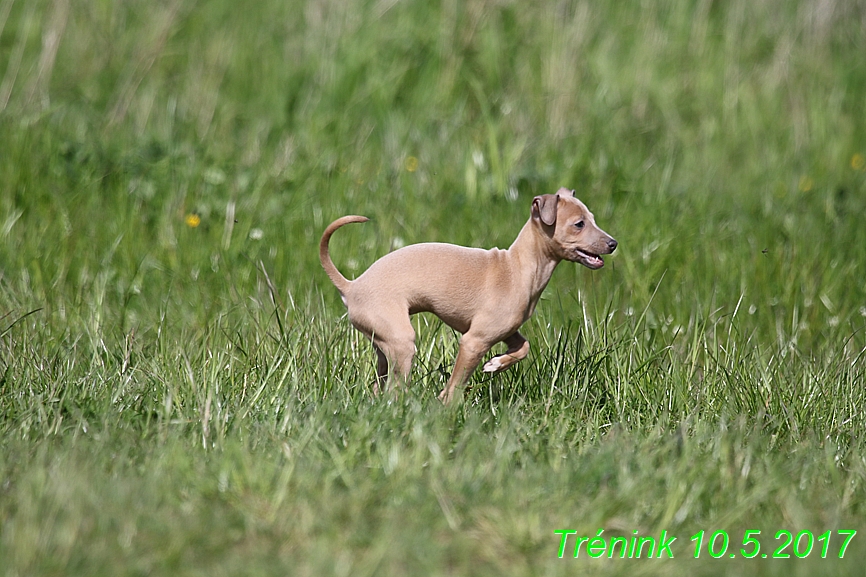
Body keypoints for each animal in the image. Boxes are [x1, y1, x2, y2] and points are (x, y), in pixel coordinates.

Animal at [318, 187, 616, 402]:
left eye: (592, 220)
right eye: (579, 224)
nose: (613, 243)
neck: (517, 267)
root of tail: (352, 285)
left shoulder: (506, 331)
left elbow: (523, 347)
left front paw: (496, 364)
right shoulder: (474, 341)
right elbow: (456, 383)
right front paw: (447, 406)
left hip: (383, 343)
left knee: (379, 385)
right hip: (402, 343)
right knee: (394, 389)